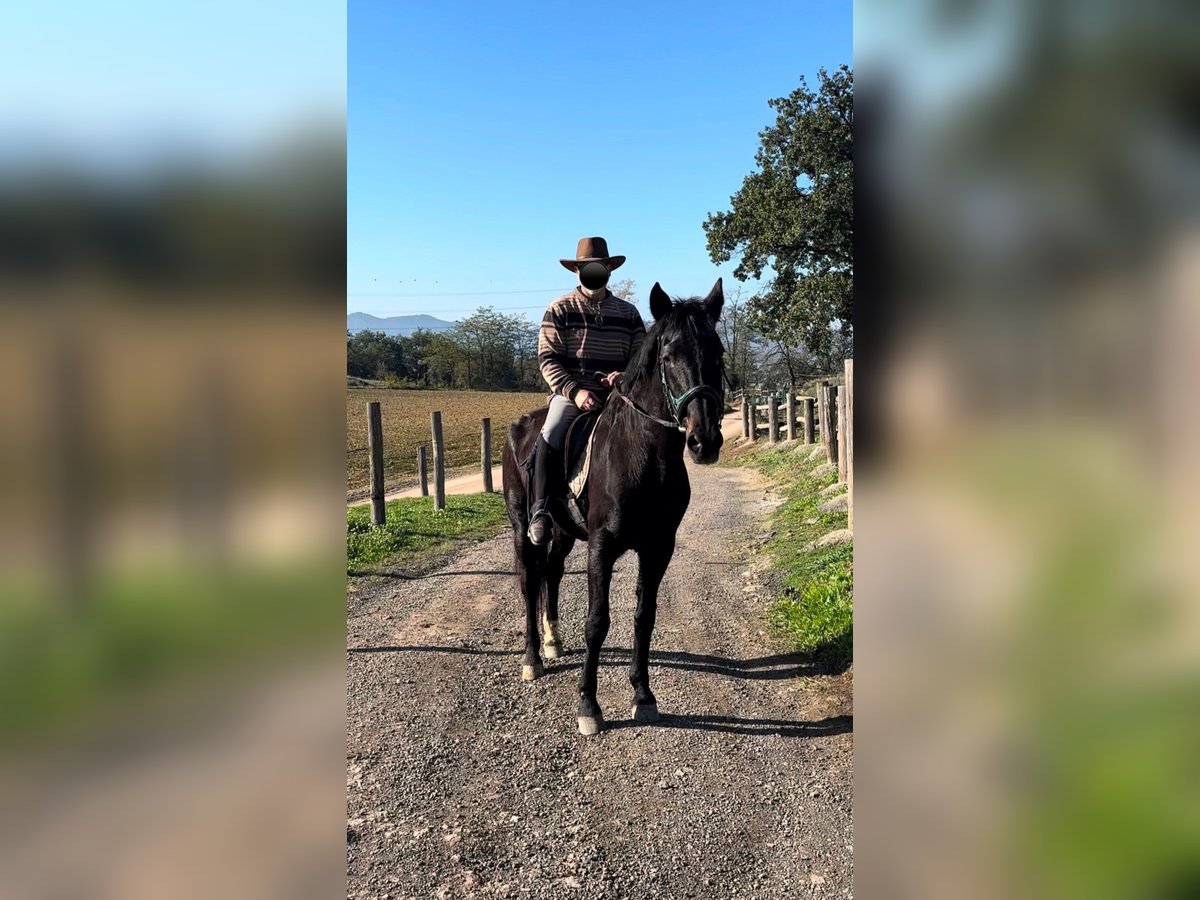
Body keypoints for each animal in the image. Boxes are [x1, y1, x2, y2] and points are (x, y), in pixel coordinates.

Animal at [501, 278, 724, 734]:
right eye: (668, 357)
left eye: (719, 353)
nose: (704, 440)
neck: (644, 457)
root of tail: (520, 427)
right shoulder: (601, 546)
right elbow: (597, 621)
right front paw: (588, 705)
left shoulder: (658, 548)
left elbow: (644, 615)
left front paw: (643, 695)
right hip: (522, 528)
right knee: (530, 582)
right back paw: (532, 659)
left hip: (564, 532)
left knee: (551, 572)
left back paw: (553, 642)